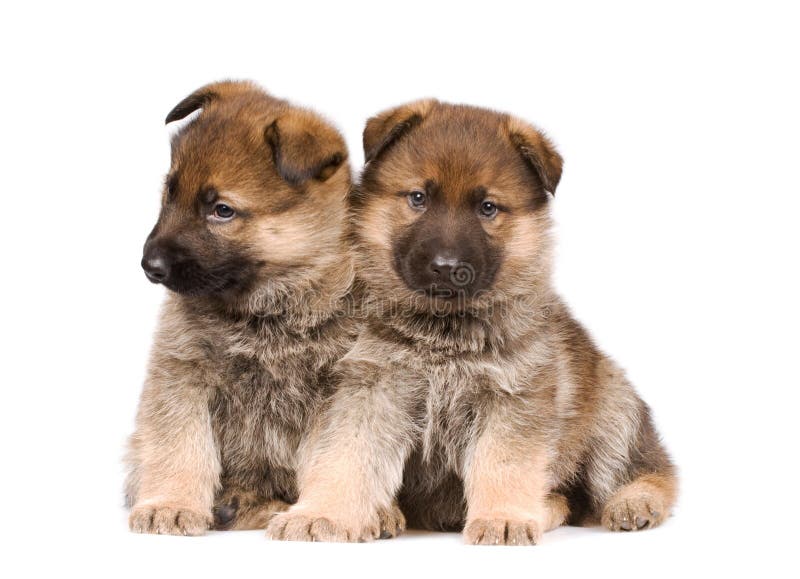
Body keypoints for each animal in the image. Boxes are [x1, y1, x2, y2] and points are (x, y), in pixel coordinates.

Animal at [126, 79, 410, 536]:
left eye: (222, 210)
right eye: (170, 192)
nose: (149, 265)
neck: (269, 307)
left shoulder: (344, 389)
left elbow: (340, 456)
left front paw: (324, 513)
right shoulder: (182, 371)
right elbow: (180, 445)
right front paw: (170, 503)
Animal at [266, 98, 680, 544]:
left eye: (487, 208)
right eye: (418, 198)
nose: (447, 267)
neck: (443, 332)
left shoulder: (512, 399)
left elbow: (503, 464)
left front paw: (502, 518)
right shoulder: (371, 390)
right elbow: (345, 457)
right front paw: (321, 513)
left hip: (613, 414)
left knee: (647, 471)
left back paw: (633, 502)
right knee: (569, 498)